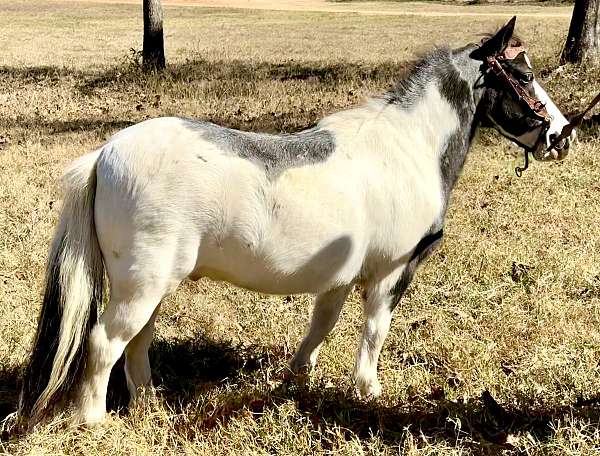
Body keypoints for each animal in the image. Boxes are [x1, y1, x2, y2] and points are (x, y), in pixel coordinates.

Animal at [18, 16, 576, 424]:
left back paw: (149, 405)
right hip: (142, 285)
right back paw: (94, 420)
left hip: (148, 287)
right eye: (525, 75)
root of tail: (104, 154)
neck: (407, 146)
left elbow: (320, 326)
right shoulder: (391, 273)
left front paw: (296, 380)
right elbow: (374, 331)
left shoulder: (340, 276)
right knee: (103, 343)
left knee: (137, 342)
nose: (563, 135)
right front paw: (368, 391)